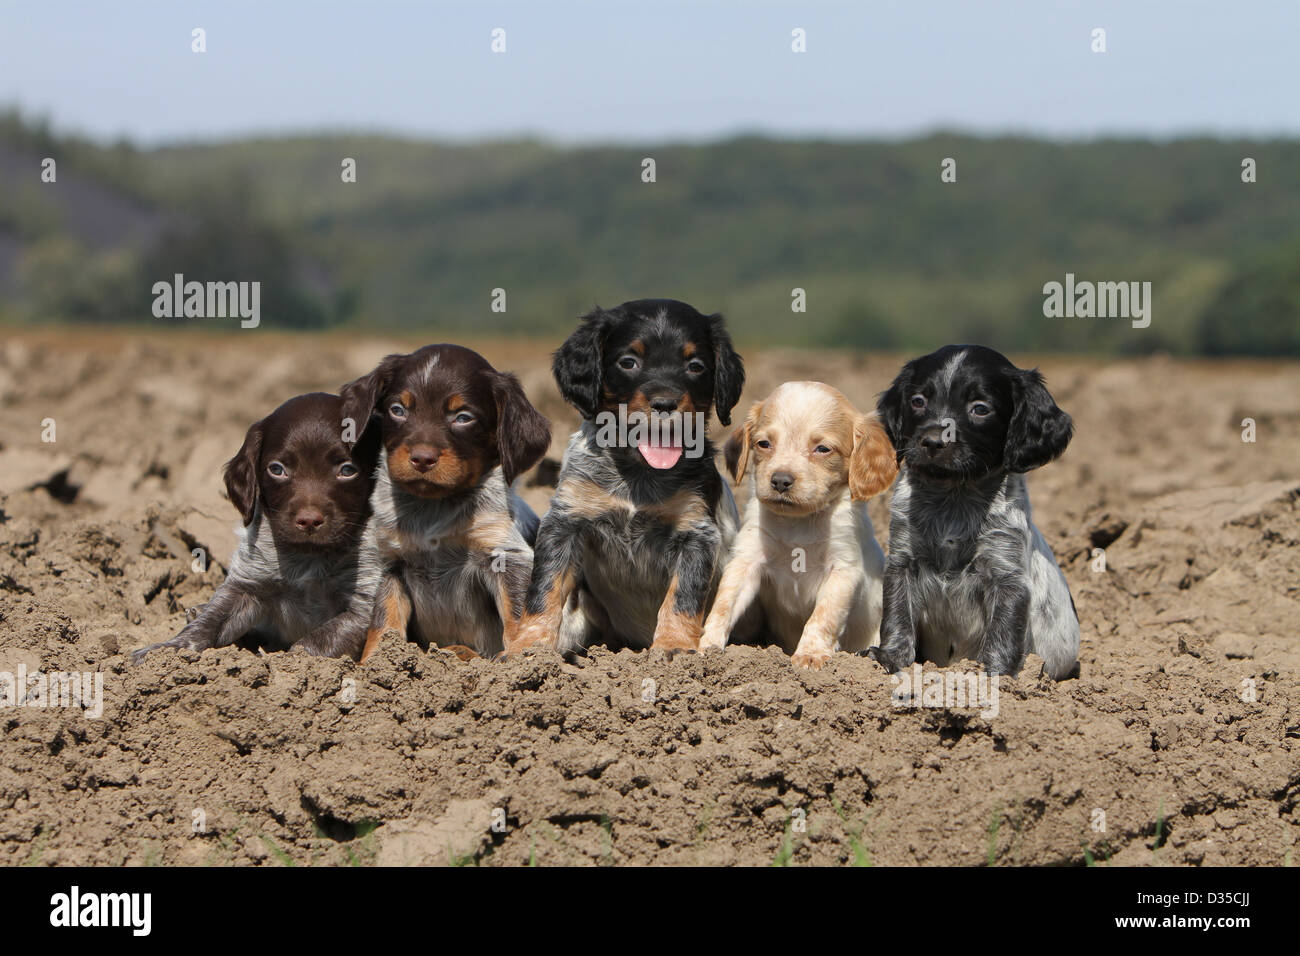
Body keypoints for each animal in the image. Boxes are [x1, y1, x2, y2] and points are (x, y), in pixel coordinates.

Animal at [133, 392, 382, 660]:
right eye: (277, 469)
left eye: (347, 470)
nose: (308, 520)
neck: (308, 555)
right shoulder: (246, 586)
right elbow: (208, 622)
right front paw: (165, 650)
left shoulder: (362, 609)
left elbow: (315, 642)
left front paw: (293, 660)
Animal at [340, 345, 548, 665]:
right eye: (397, 410)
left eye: (462, 417)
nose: (422, 459)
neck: (433, 507)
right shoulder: (390, 562)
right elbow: (384, 621)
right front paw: (374, 663)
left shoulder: (506, 554)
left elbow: (516, 613)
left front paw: (518, 658)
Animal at [504, 299, 743, 658]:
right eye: (629, 362)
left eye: (696, 366)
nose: (665, 403)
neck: (639, 472)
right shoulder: (565, 521)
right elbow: (544, 587)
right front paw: (529, 647)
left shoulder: (697, 532)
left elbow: (682, 596)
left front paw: (673, 647)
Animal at [696, 379, 899, 665]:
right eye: (764, 443)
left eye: (822, 449)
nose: (781, 480)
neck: (798, 523)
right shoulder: (746, 560)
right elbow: (723, 604)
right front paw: (707, 647)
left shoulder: (843, 569)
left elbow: (823, 616)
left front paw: (810, 655)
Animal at [868, 345, 1081, 681]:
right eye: (918, 401)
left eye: (980, 408)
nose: (932, 441)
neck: (954, 499)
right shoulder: (902, 562)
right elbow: (897, 617)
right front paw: (889, 660)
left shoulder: (1007, 576)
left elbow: (1002, 634)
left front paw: (992, 676)